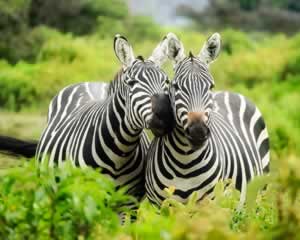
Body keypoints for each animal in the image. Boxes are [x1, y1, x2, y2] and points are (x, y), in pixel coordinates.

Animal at [0, 34, 175, 199]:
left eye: (167, 81)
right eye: (131, 83)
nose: (166, 116)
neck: (120, 152)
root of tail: (90, 82)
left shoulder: (129, 201)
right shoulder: (84, 194)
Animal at [145, 32, 270, 206]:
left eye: (211, 86)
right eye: (176, 86)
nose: (198, 131)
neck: (185, 162)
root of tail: (229, 92)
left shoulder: (210, 204)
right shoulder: (158, 205)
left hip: (259, 193)